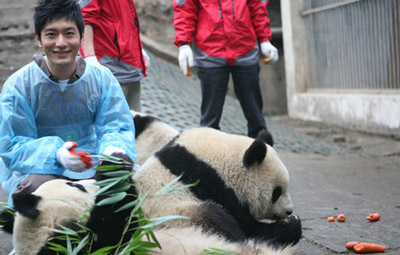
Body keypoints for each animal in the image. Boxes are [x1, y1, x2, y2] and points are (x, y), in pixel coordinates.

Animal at [133, 127, 302, 247]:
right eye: (276, 192)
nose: (289, 211)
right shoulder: (214, 186)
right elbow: (249, 228)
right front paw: (292, 225)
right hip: (176, 217)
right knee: (215, 219)